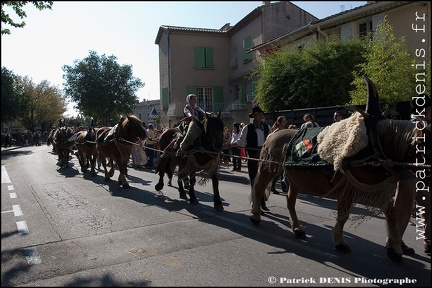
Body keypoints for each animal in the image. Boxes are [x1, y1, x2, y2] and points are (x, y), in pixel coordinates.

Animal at [248, 77, 430, 264]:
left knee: (290, 200)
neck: (373, 144)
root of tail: (272, 135)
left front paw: (395, 248)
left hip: (294, 178)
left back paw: (297, 228)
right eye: (424, 144)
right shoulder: (346, 189)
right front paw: (340, 242)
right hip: (268, 168)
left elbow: (391, 212)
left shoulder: (377, 189)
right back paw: (256, 215)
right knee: (259, 188)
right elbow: (343, 215)